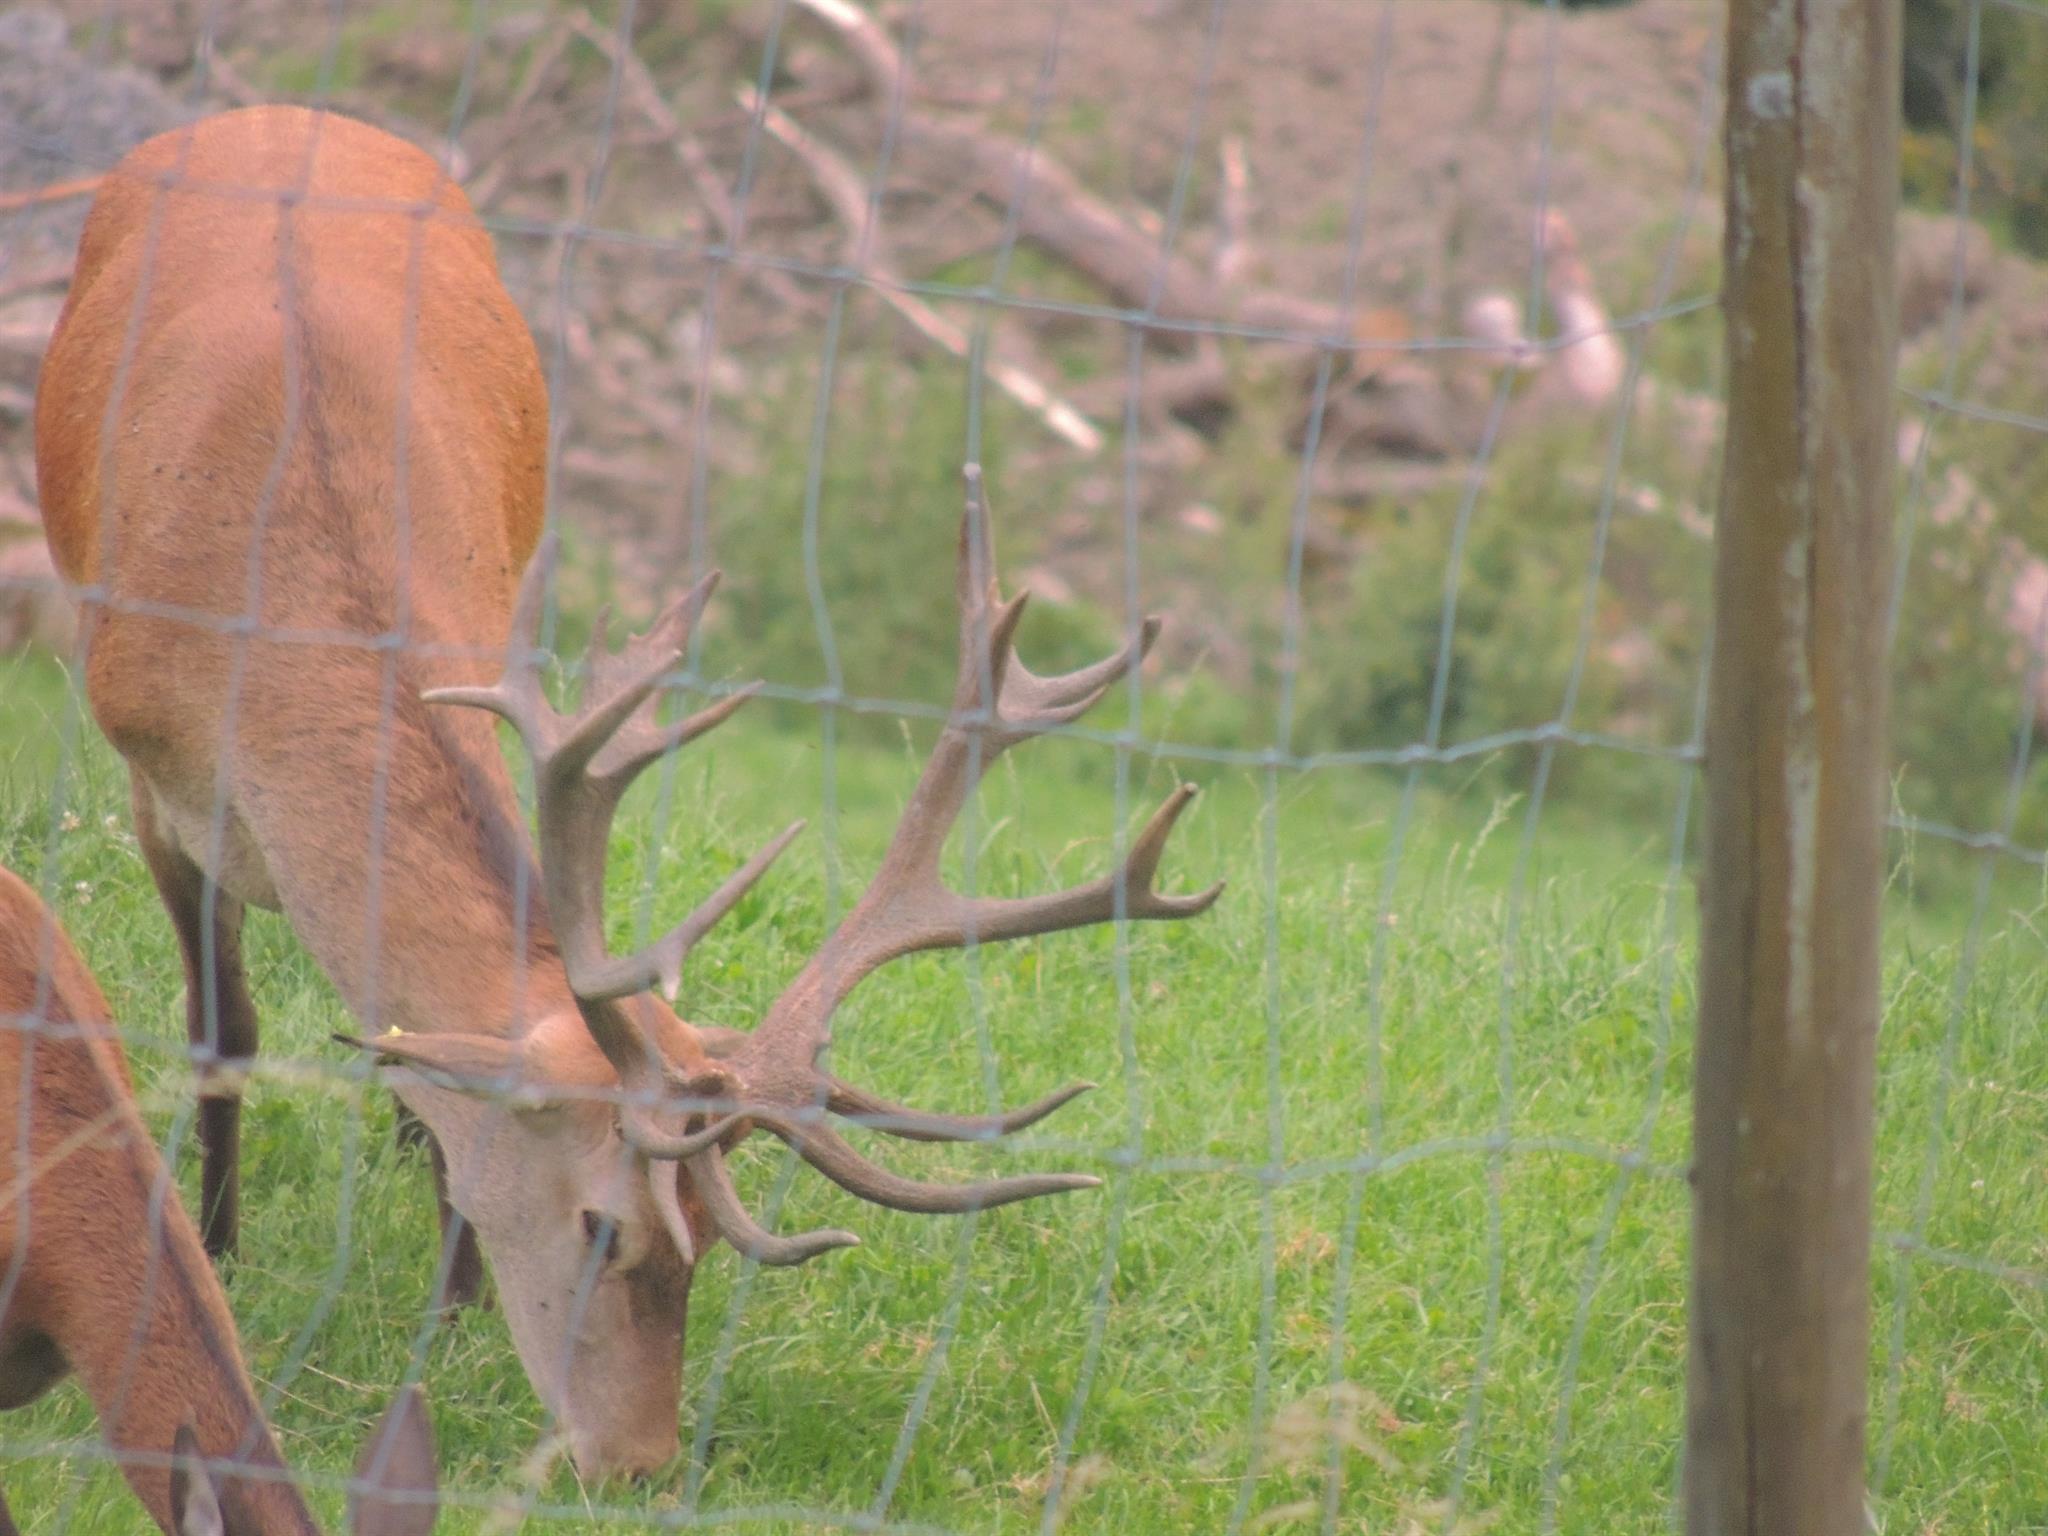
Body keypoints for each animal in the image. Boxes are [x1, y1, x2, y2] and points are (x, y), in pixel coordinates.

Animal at [36, 108, 1212, 1482]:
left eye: (704, 1243)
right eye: (607, 1227)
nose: (638, 1460)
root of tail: (287, 111)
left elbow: (423, 1067)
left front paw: (451, 1309)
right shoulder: (151, 780)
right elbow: (221, 1031)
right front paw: (218, 1253)